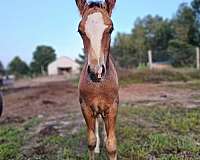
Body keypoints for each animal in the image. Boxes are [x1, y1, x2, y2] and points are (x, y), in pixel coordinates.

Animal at [75, 0, 119, 159]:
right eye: (80, 31)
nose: (96, 72)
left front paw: (108, 143)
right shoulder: (86, 107)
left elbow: (111, 145)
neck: (99, 86)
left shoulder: (112, 107)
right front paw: (96, 148)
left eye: (111, 28)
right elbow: (91, 141)